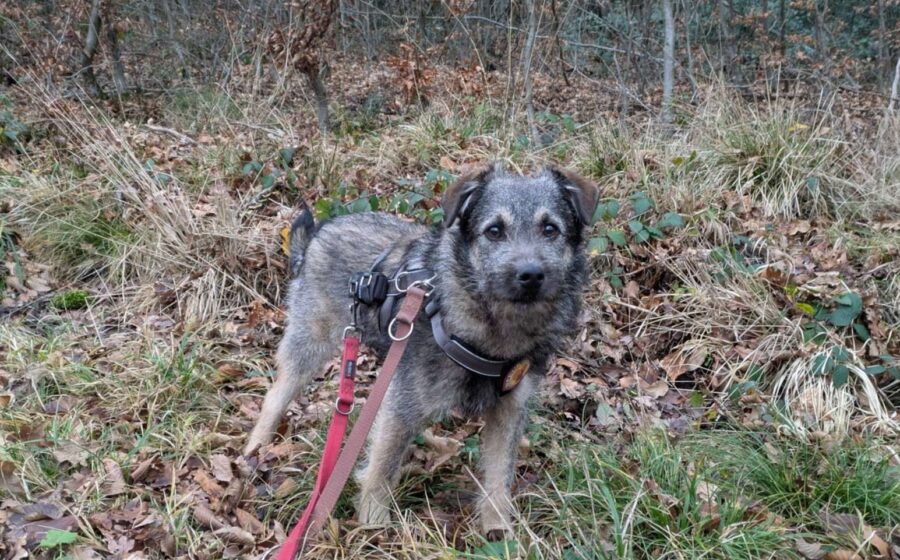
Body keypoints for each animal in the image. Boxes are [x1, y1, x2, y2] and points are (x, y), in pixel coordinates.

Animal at [244, 163, 598, 537]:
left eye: (550, 228)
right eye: (494, 231)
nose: (530, 274)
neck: (492, 330)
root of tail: (319, 233)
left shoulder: (508, 411)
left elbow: (498, 478)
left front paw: (500, 532)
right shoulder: (400, 411)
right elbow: (380, 470)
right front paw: (374, 528)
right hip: (311, 345)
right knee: (277, 395)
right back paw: (256, 448)